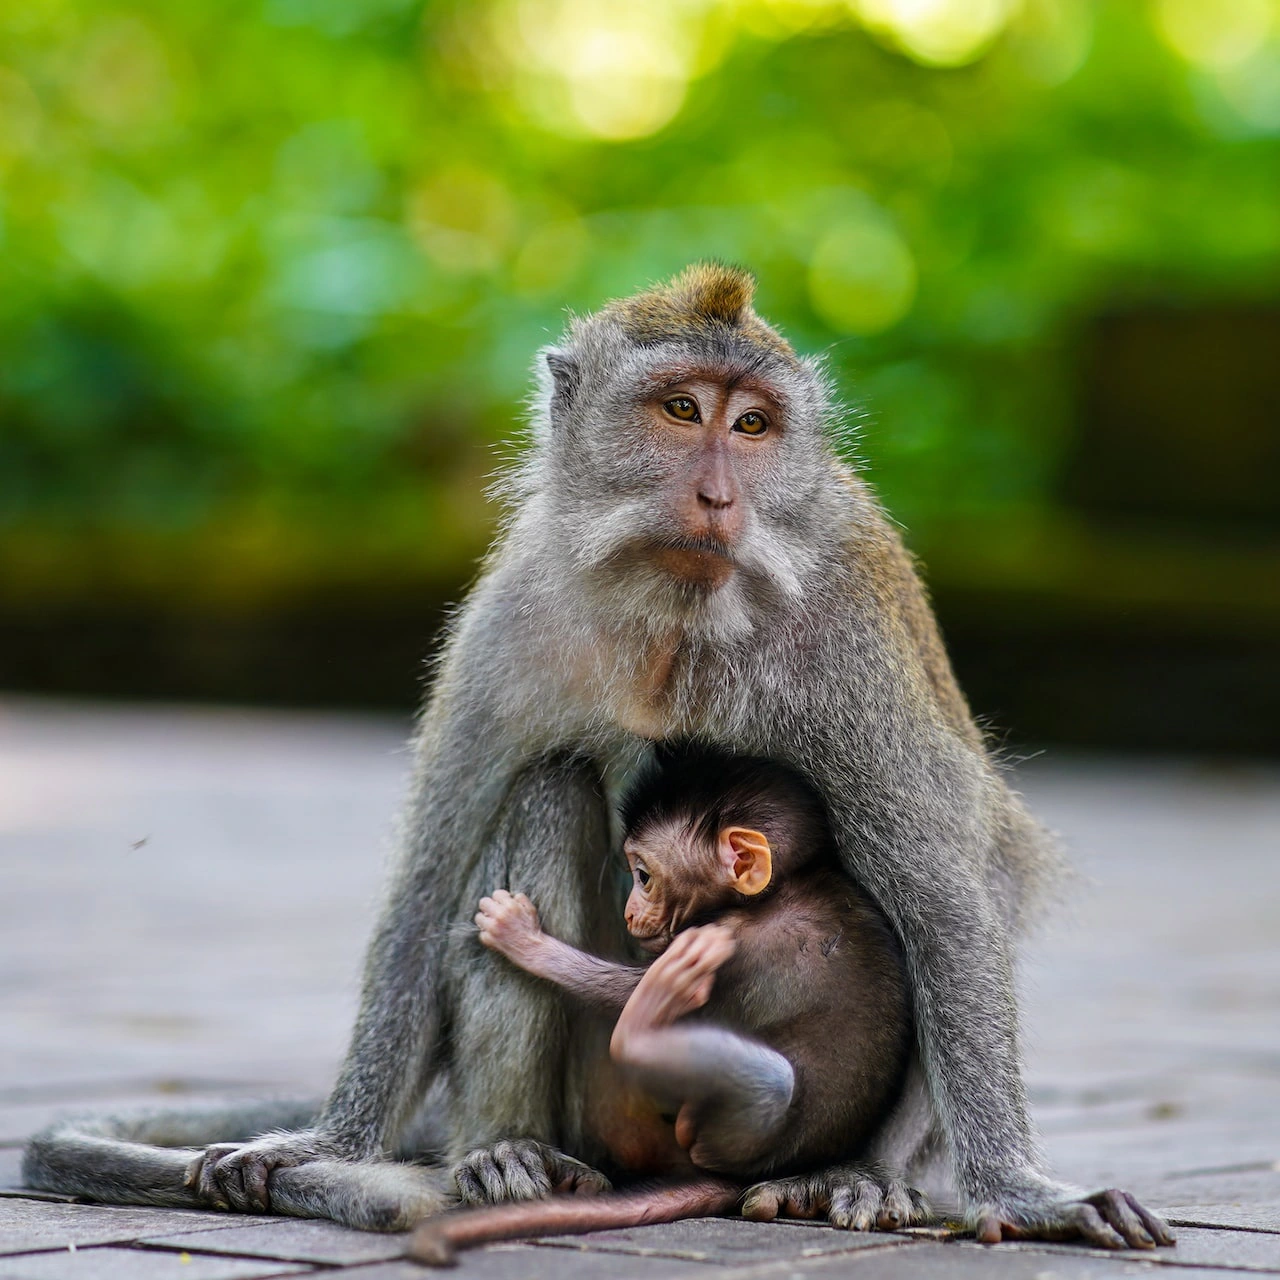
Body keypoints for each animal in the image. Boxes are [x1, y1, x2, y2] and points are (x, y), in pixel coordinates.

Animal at [406, 746, 916, 1264]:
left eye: (644, 876)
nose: (630, 912)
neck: (780, 890)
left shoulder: (734, 944)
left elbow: (623, 991)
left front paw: (522, 938)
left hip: (730, 1135)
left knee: (770, 1080)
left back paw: (644, 1026)